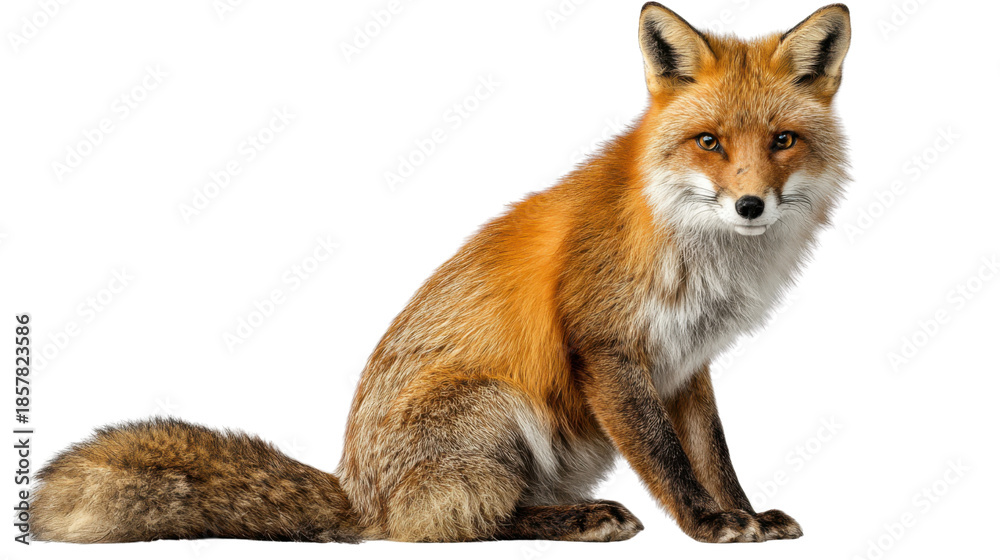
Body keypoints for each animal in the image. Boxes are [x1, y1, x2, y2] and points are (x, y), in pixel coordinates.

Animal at [31, 2, 851, 545]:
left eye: (782, 140)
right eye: (709, 141)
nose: (750, 204)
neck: (694, 246)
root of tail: (356, 491)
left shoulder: (687, 363)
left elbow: (714, 453)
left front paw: (746, 511)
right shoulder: (609, 350)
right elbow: (667, 460)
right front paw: (710, 524)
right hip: (495, 409)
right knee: (459, 525)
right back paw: (575, 518)